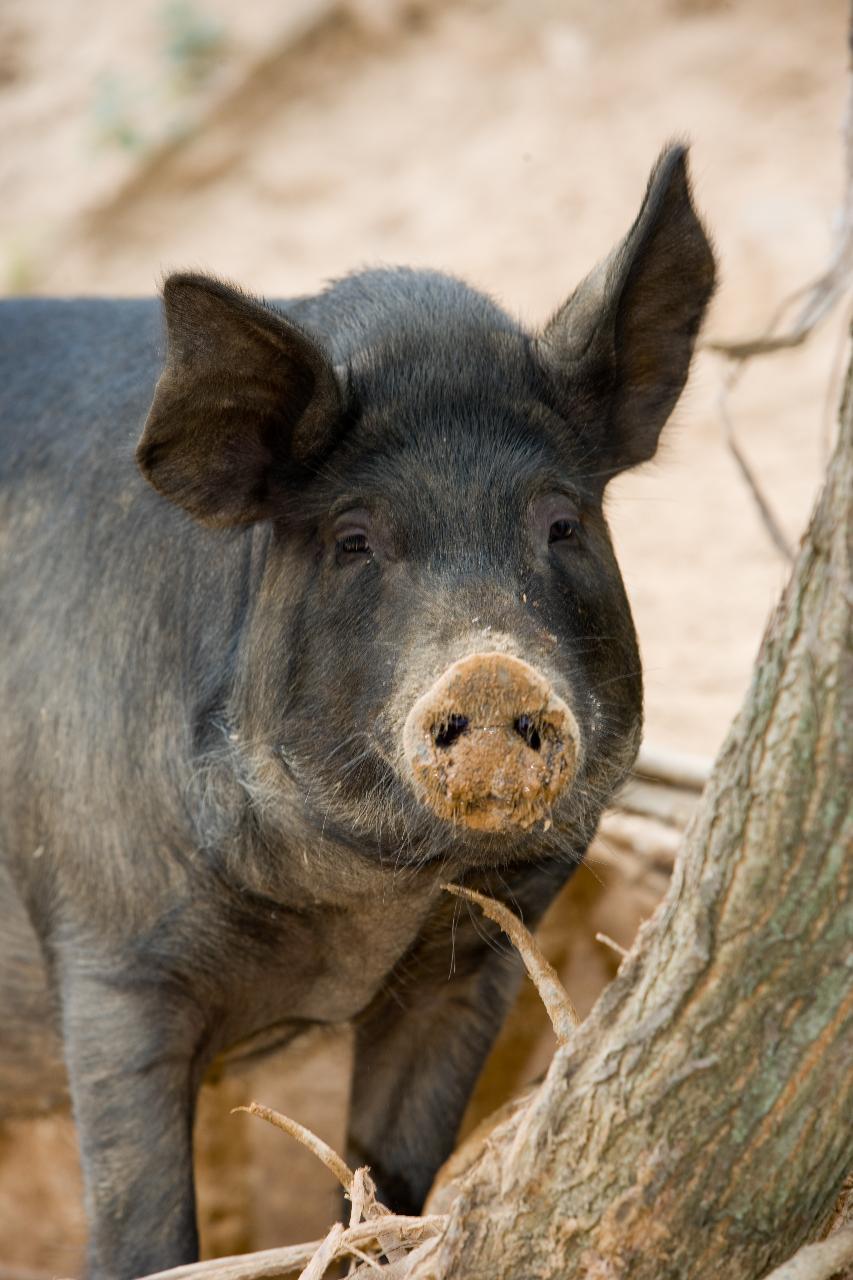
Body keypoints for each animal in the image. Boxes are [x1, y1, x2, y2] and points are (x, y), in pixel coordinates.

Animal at [0, 145, 712, 1274]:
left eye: (560, 521)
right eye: (353, 539)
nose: (490, 670)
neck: (364, 905)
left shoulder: (479, 957)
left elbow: (391, 1166)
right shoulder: (109, 950)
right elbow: (145, 1227)